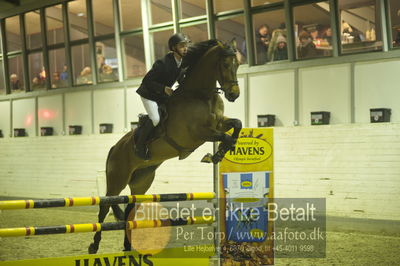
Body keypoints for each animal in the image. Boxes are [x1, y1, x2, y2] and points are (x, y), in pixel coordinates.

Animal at [88, 39, 242, 254]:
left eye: (238, 64)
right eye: (226, 64)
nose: (234, 95)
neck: (201, 95)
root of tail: (114, 148)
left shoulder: (219, 124)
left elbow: (237, 125)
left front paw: (218, 154)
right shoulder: (198, 133)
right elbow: (225, 137)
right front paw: (214, 155)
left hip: (141, 181)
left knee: (130, 209)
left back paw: (128, 247)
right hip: (117, 178)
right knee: (105, 205)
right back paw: (94, 245)